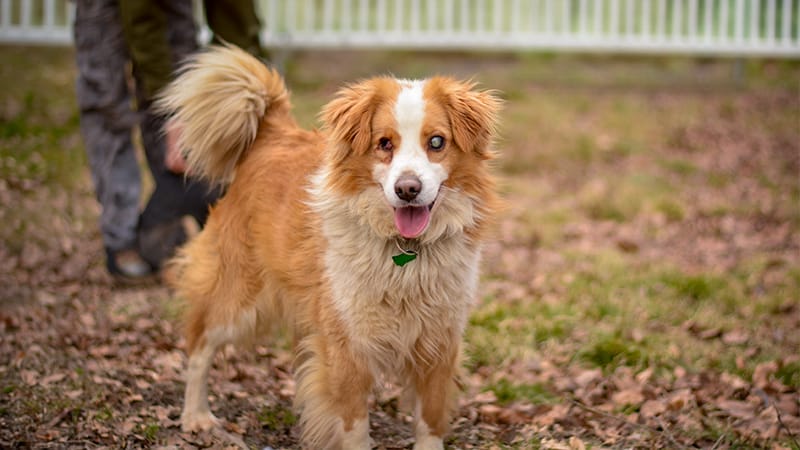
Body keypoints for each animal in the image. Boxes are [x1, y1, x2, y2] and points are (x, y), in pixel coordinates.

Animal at [158, 44, 500, 450]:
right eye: (385, 144)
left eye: (437, 142)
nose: (407, 189)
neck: (404, 252)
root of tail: (275, 131)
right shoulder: (346, 347)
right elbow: (353, 426)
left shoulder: (439, 343)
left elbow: (429, 422)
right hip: (239, 298)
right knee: (199, 345)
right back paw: (195, 415)